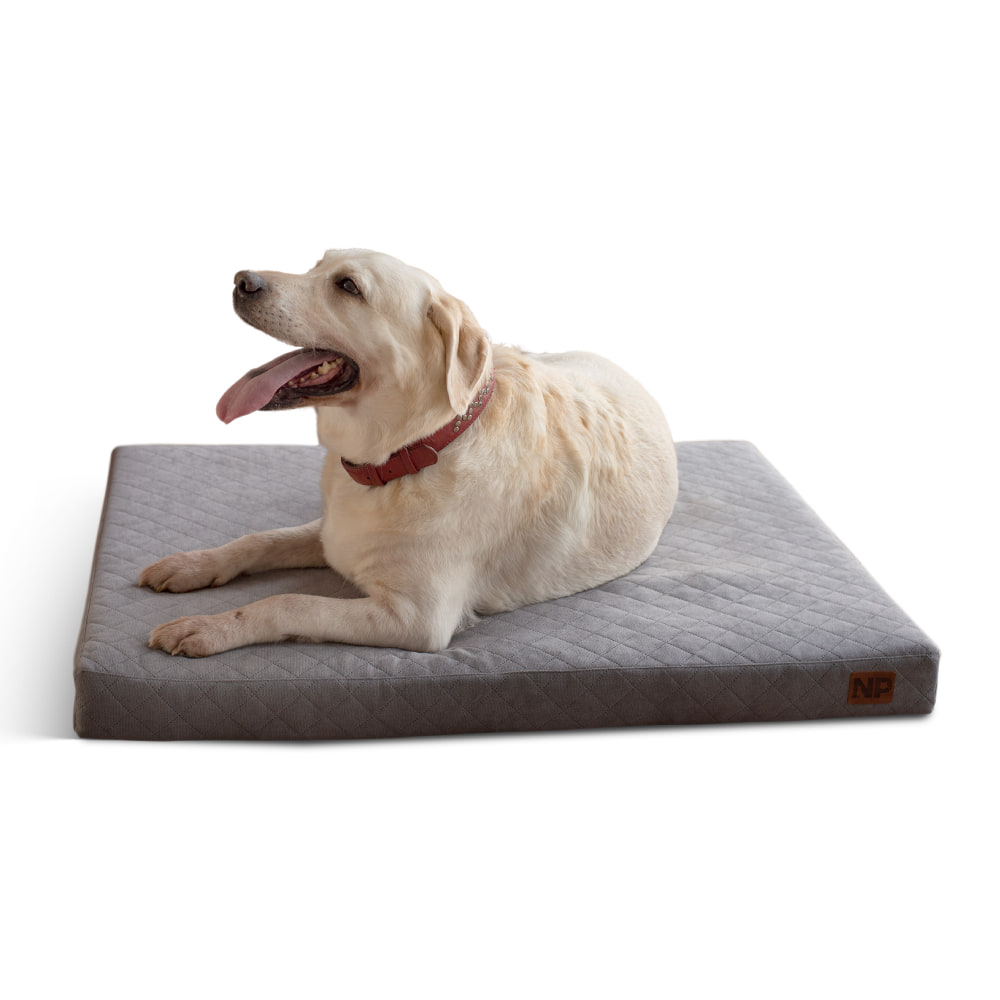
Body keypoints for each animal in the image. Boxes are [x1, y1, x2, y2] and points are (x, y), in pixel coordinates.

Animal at [141, 249, 678, 656]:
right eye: (316, 265)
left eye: (348, 286)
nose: (241, 280)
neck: (413, 449)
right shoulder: (333, 531)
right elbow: (260, 539)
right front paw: (194, 565)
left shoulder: (415, 618)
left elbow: (288, 602)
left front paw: (208, 627)